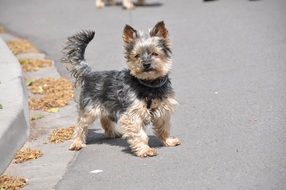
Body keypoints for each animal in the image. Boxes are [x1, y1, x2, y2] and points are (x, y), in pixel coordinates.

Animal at [62, 20, 181, 157]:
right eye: (137, 55)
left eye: (155, 53)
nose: (146, 64)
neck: (149, 84)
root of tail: (90, 73)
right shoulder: (132, 114)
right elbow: (140, 134)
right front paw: (145, 150)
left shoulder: (163, 109)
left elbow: (164, 127)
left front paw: (168, 141)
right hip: (89, 109)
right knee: (81, 125)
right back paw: (77, 143)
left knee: (105, 118)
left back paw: (112, 133)